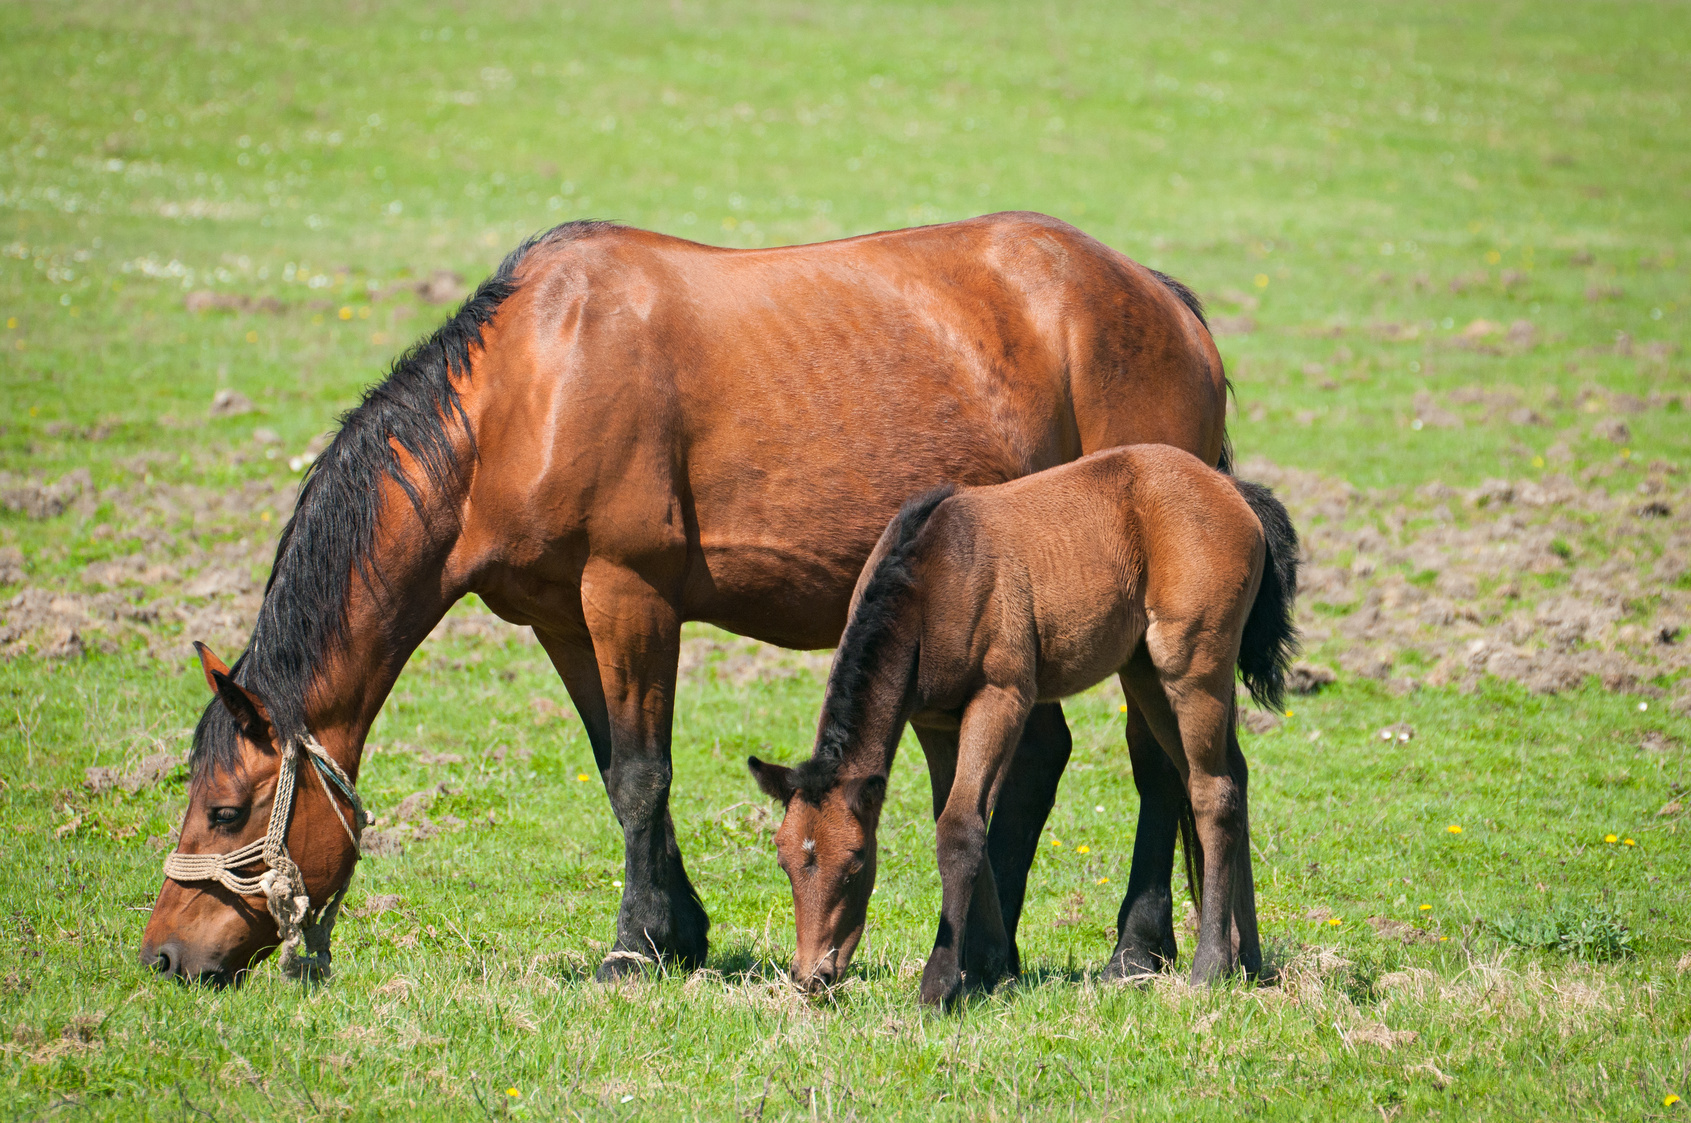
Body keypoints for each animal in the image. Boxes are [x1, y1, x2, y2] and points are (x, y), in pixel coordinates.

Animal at [142, 210, 1231, 980]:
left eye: (229, 811)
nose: (164, 954)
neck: (524, 390)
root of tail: (1169, 301)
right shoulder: (561, 615)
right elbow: (613, 763)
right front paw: (679, 930)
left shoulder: (628, 595)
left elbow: (640, 772)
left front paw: (633, 946)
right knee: (1043, 757)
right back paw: (990, 947)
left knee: (1156, 765)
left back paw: (1135, 947)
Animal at [750, 443, 1291, 1001]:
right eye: (783, 861)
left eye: (856, 861)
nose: (812, 975)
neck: (934, 581)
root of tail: (1231, 490)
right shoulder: (934, 721)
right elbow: (960, 818)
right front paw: (991, 967)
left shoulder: (1002, 697)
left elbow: (960, 829)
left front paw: (941, 984)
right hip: (1147, 674)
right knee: (1227, 776)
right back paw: (1249, 960)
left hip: (1192, 666)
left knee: (1213, 793)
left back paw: (1211, 966)